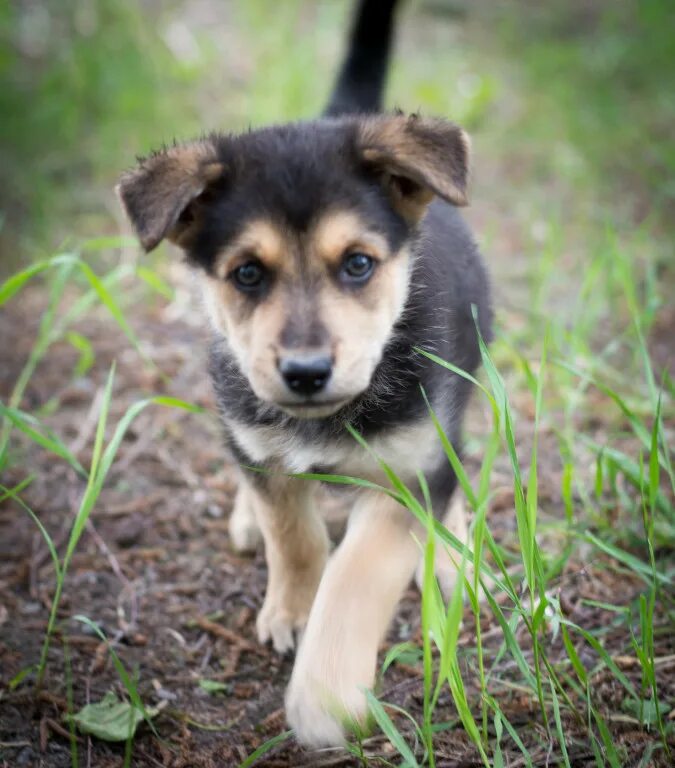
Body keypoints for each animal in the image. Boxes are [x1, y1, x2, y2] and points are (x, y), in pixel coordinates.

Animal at [117, 0, 492, 748]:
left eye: (358, 264)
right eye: (246, 274)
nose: (306, 372)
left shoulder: (406, 473)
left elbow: (357, 572)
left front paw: (324, 694)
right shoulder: (262, 440)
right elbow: (293, 535)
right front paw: (291, 609)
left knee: (452, 468)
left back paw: (453, 549)